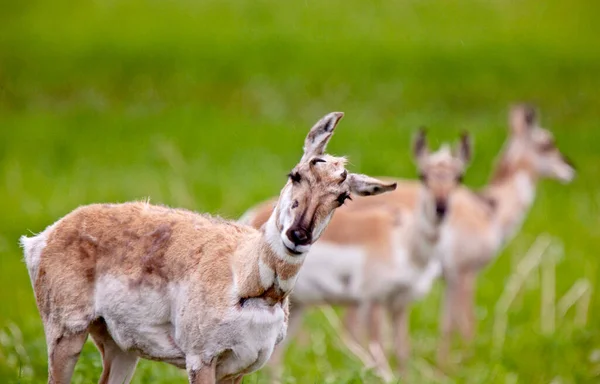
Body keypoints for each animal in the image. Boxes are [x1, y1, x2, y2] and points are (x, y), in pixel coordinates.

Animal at [18, 112, 396, 384]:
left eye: (342, 197)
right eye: (295, 175)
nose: (298, 235)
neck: (244, 278)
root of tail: (46, 235)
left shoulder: (240, 367)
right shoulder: (201, 361)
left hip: (121, 348)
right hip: (66, 333)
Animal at [239, 130, 474, 374]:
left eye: (459, 178)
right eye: (423, 176)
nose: (441, 208)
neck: (404, 244)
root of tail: (252, 215)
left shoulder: (400, 304)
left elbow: (402, 352)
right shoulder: (372, 303)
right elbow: (378, 352)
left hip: (299, 306)